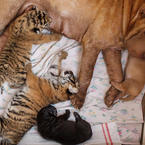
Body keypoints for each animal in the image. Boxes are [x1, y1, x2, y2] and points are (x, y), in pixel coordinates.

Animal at [0, 0, 145, 108]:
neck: (130, 13)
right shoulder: (93, 44)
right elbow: (87, 74)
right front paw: (79, 98)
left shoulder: (111, 49)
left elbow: (117, 73)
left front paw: (112, 94)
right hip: (7, 12)